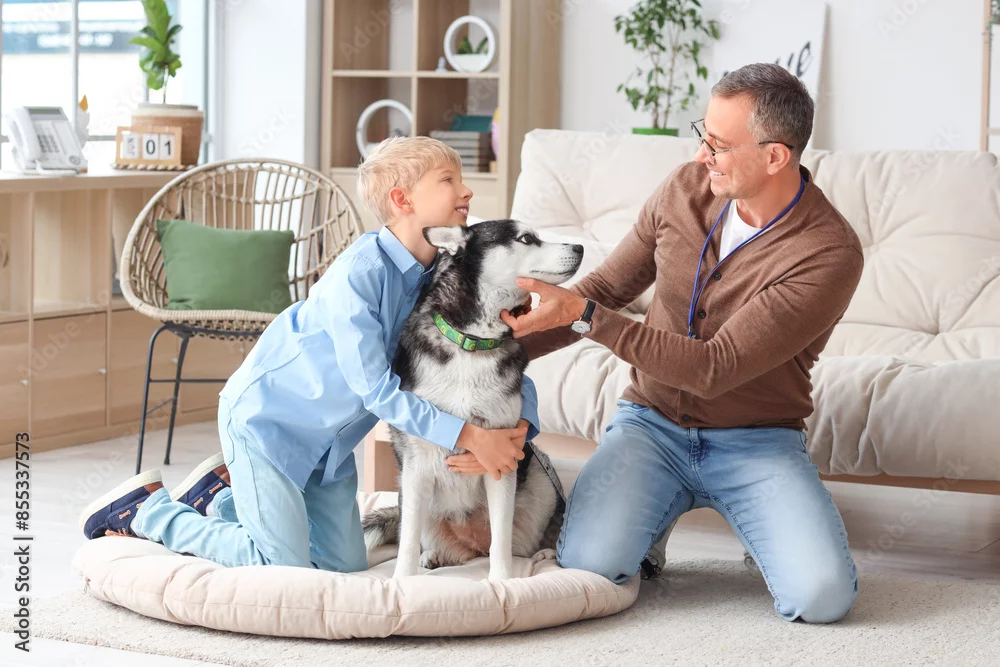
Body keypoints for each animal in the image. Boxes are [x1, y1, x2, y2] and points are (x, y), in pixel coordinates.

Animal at [362, 219, 584, 581]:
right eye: (526, 238)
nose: (579, 247)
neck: (471, 345)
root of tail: (472, 543)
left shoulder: (502, 459)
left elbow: (501, 542)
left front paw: (502, 581)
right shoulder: (416, 468)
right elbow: (406, 542)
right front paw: (402, 582)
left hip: (539, 476)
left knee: (513, 543)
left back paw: (544, 554)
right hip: (414, 496)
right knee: (431, 540)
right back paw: (433, 556)